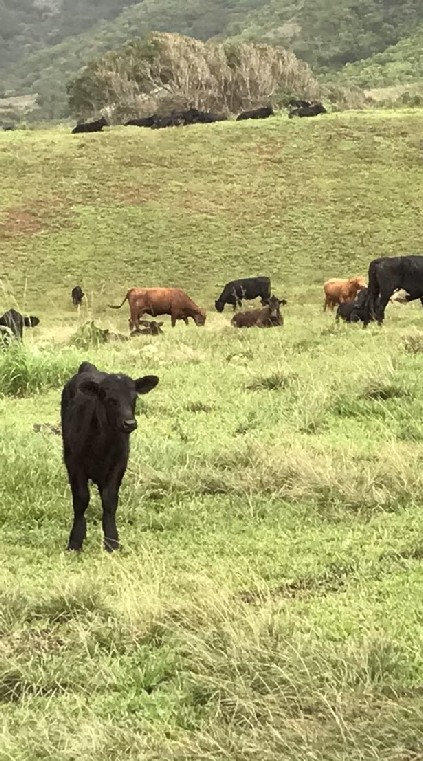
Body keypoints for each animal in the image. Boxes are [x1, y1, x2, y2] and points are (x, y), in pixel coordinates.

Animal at [60, 360, 158, 548]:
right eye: (110, 399)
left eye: (134, 398)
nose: (129, 423)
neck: (102, 444)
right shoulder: (73, 463)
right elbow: (81, 498)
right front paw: (75, 540)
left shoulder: (120, 463)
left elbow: (109, 499)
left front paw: (112, 541)